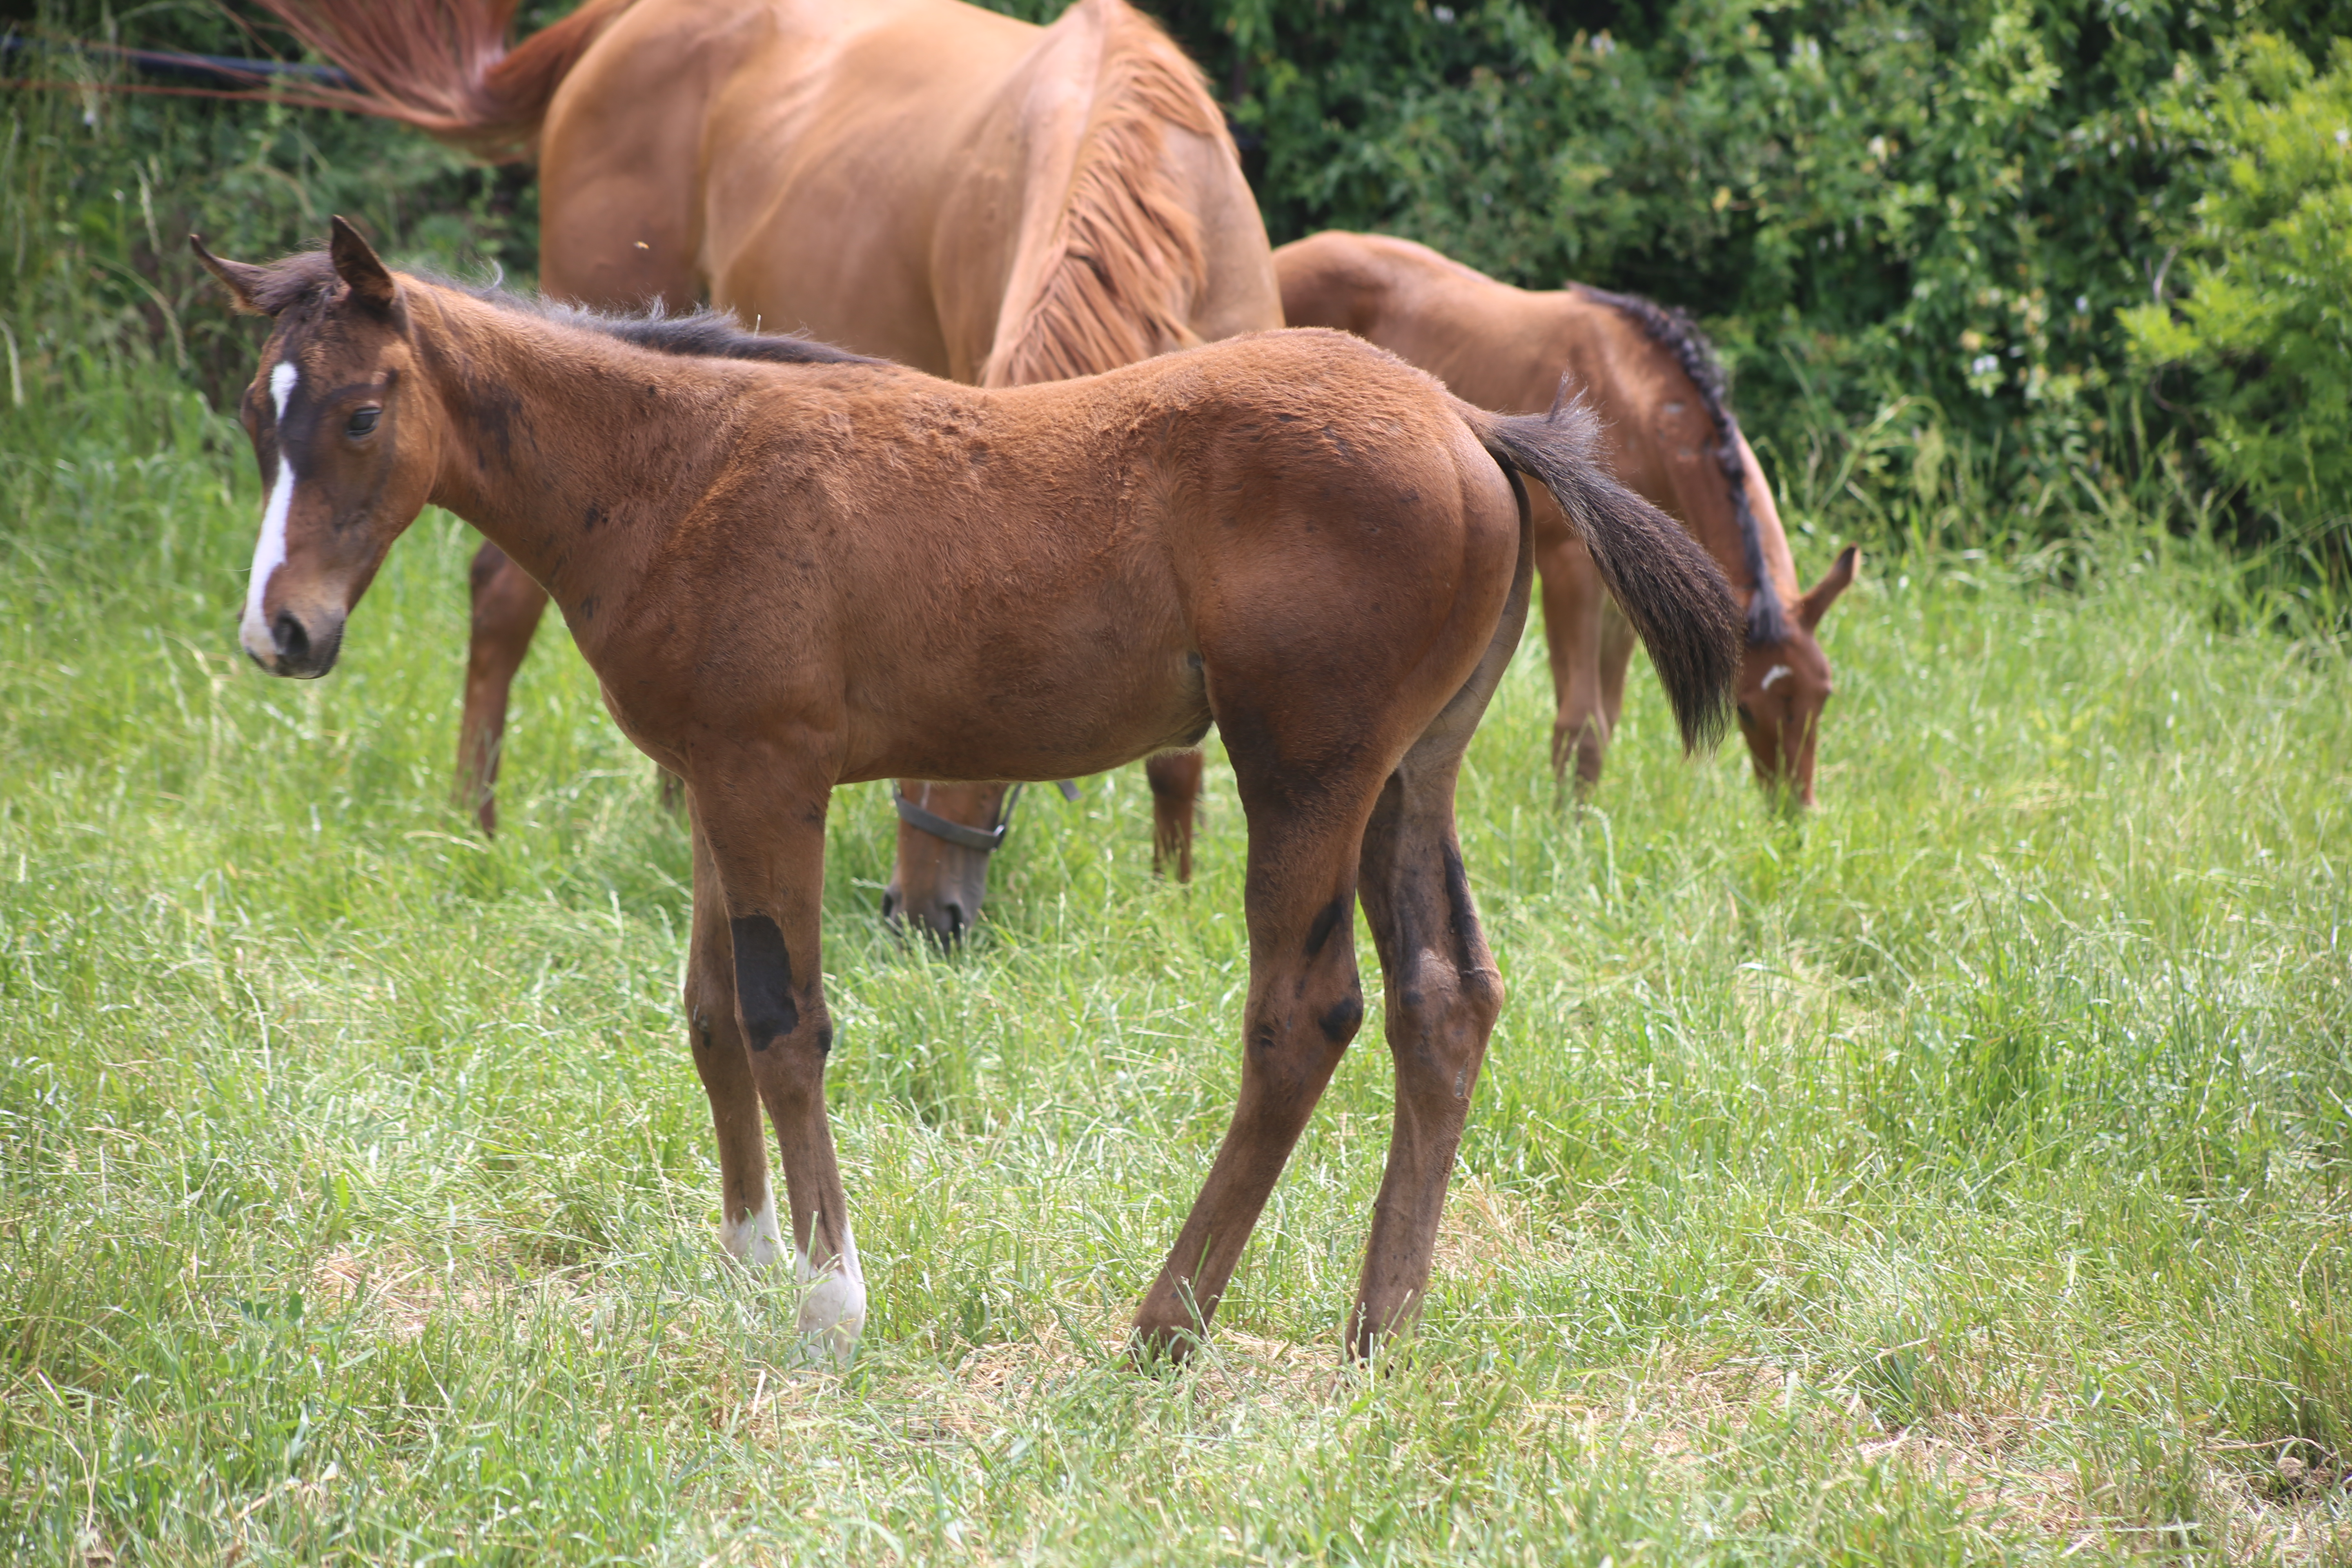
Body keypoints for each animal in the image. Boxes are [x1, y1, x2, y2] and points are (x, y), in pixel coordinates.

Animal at [207, 227, 1750, 1363]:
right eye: (256, 418)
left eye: (360, 413)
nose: (282, 632)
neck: (678, 473)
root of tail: (1472, 421)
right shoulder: (714, 777)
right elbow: (708, 1016)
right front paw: (744, 1267)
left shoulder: (771, 774)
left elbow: (783, 1025)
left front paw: (830, 1306)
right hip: (1408, 775)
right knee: (1448, 998)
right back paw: (1380, 1331)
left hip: (1305, 769)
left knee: (1305, 1018)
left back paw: (1166, 1324)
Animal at [245, 0, 1279, 940]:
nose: (921, 918)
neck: (1162, 183)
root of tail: (618, 24)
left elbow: (1182, 752)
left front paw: (1174, 896)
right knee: (502, 595)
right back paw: (476, 819)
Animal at [1279, 232, 1862, 808]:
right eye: (1745, 708)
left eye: (1825, 693)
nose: (1793, 810)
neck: (1638, 401)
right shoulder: (1568, 569)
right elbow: (1581, 721)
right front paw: (1566, 827)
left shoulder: (1632, 596)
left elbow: (1608, 717)